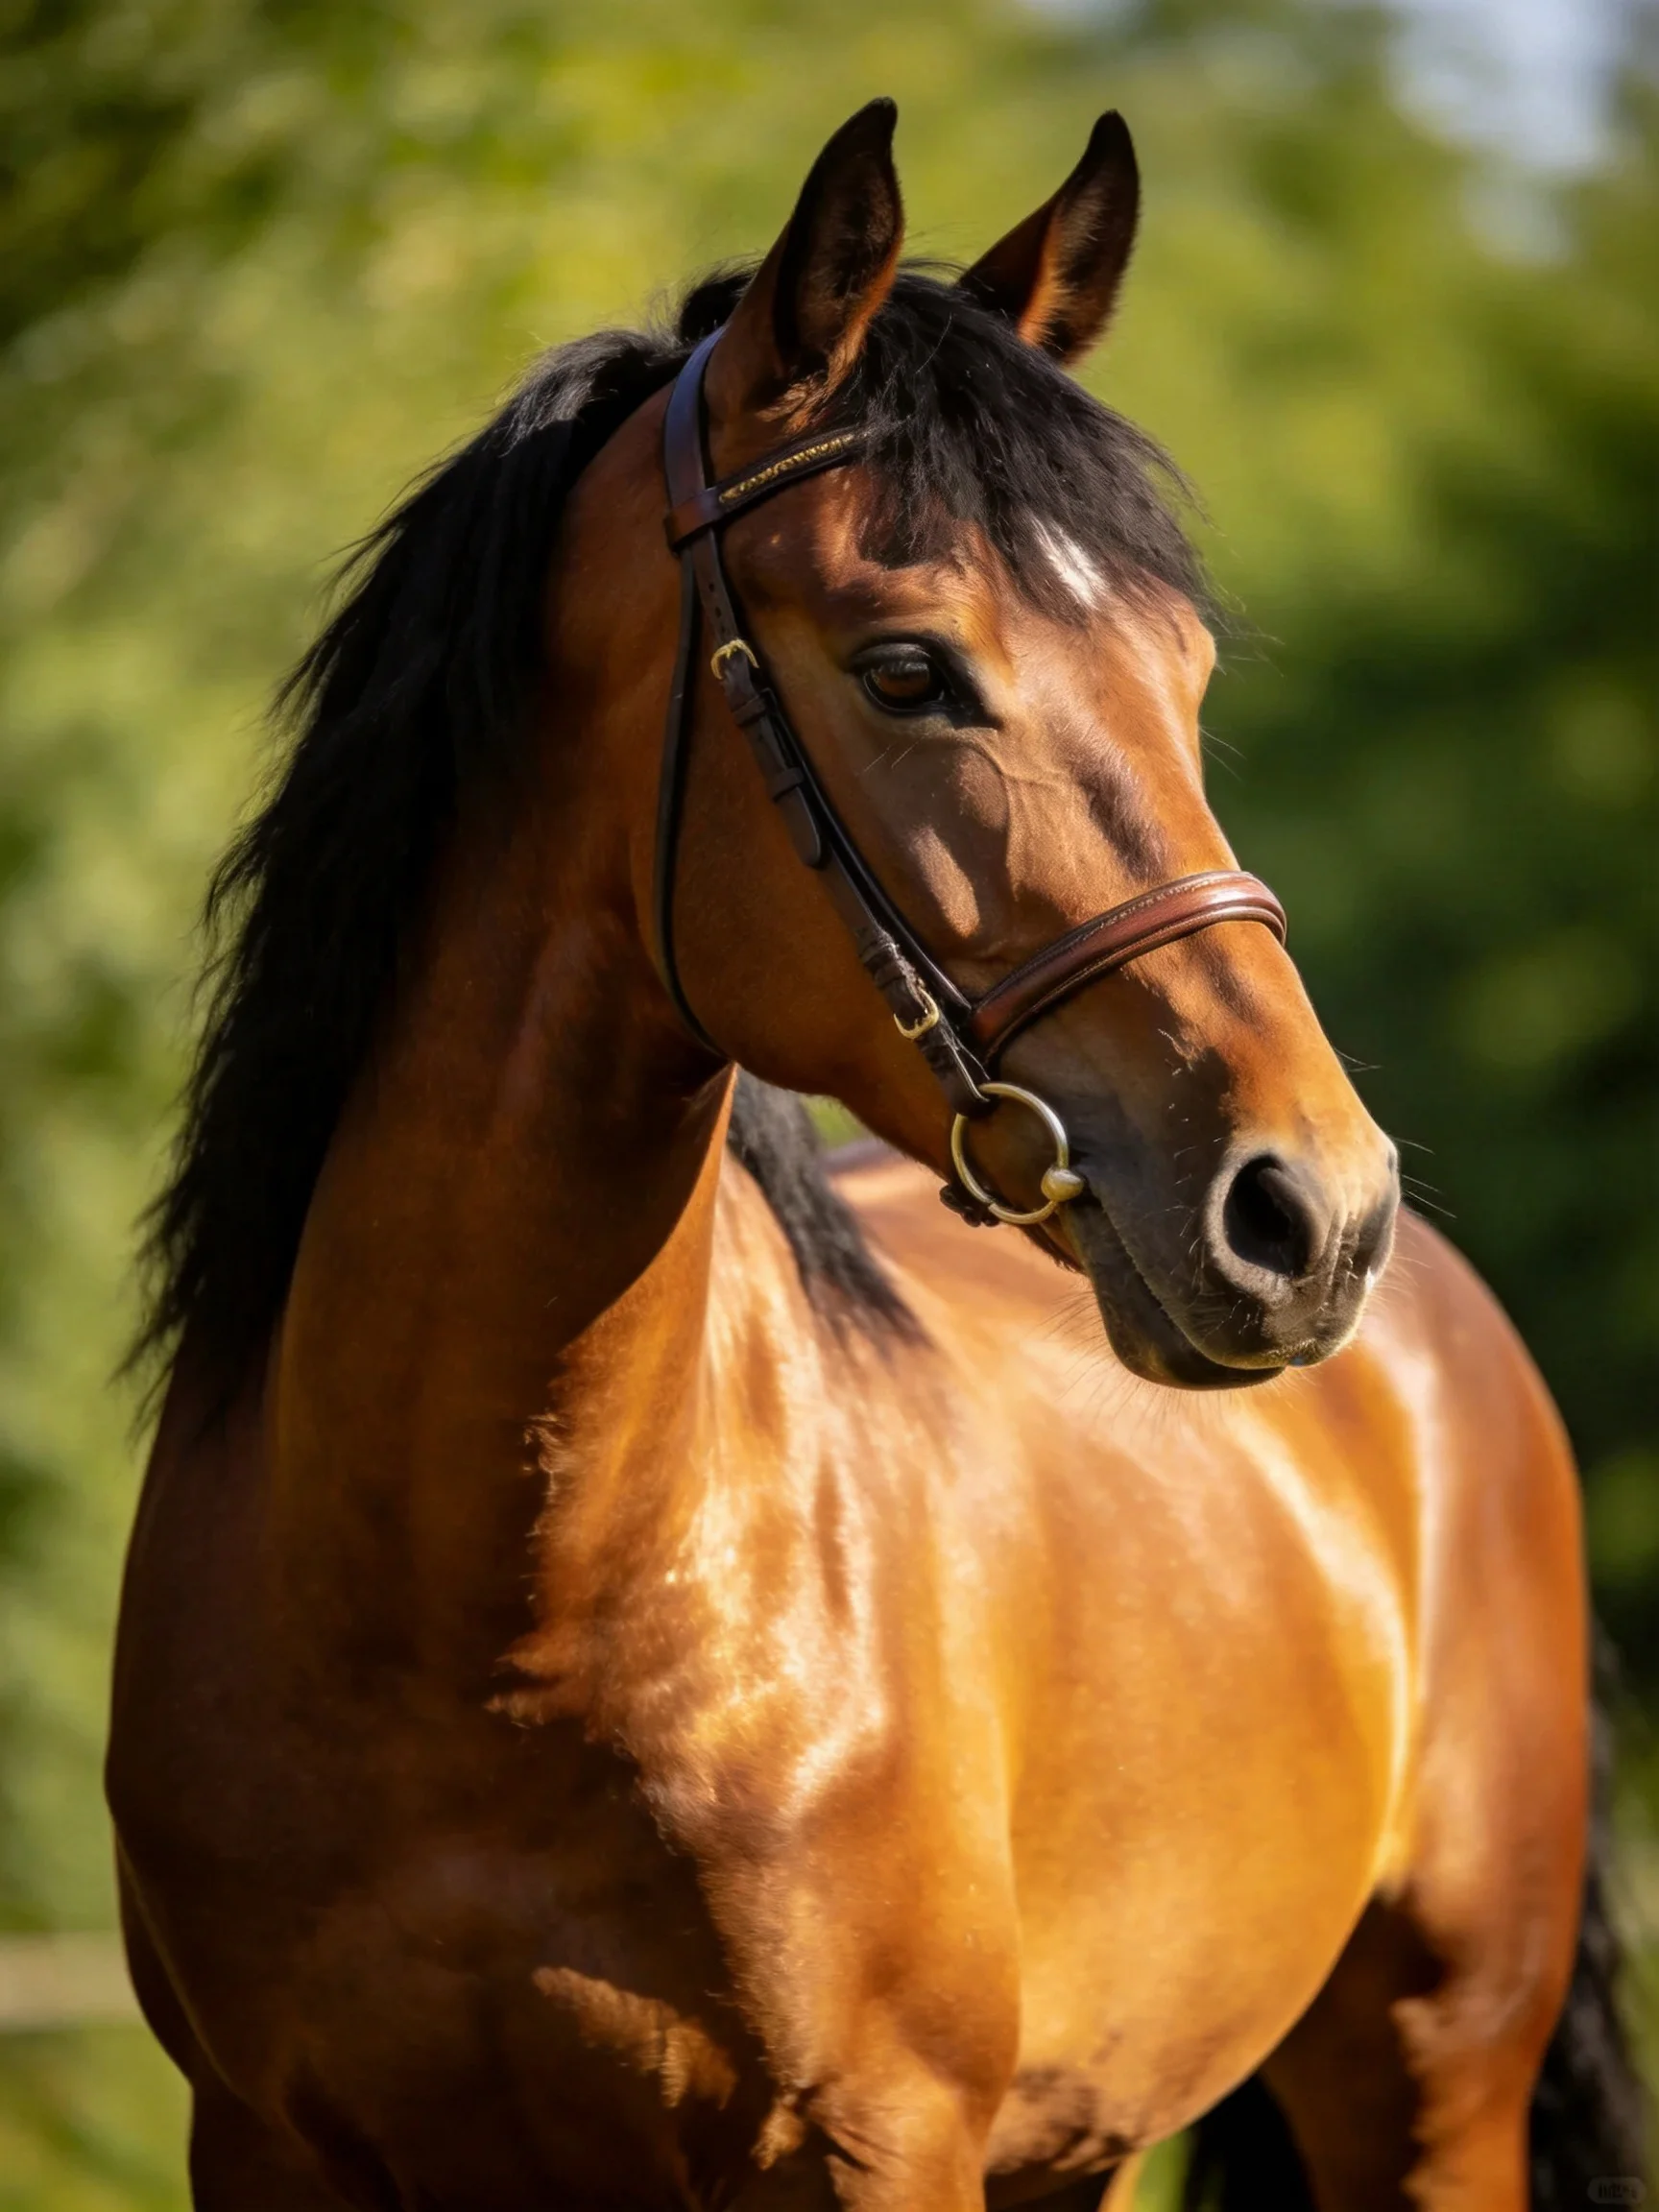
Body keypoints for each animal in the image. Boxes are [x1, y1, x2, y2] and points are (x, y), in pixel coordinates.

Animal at [108, 102, 1642, 2209]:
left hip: (1429, 2093)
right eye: (908, 669)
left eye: (1186, 675)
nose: (1311, 1214)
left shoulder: (867, 2144)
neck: (470, 1619)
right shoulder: (264, 2140)